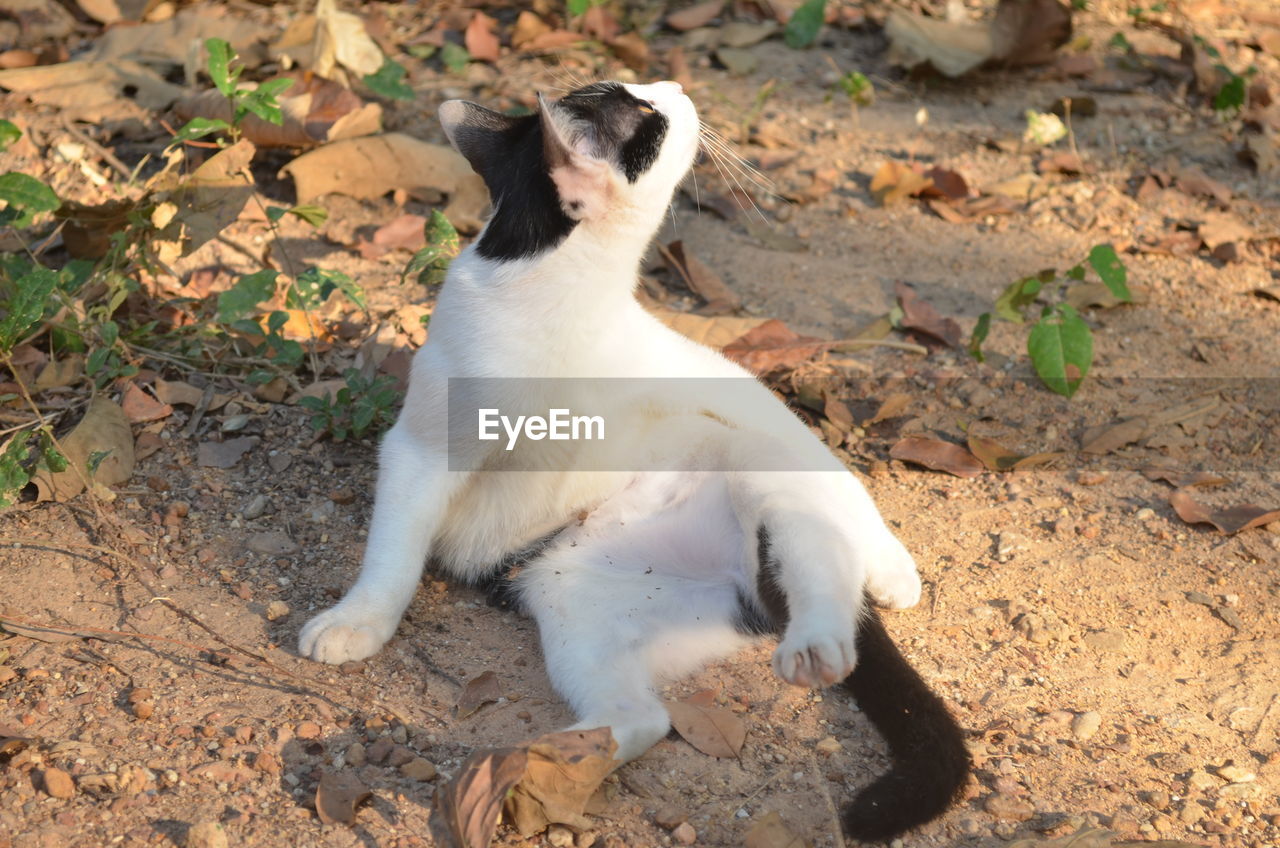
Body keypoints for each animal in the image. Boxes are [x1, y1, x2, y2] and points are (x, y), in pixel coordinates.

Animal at [299, 79, 967, 845]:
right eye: (645, 114)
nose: (675, 86)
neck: (555, 294)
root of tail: (735, 583)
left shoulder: (718, 382)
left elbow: (826, 461)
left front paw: (893, 565)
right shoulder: (423, 449)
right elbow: (391, 558)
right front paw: (359, 622)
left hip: (751, 476)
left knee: (822, 564)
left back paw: (822, 638)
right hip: (576, 609)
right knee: (642, 720)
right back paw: (538, 766)